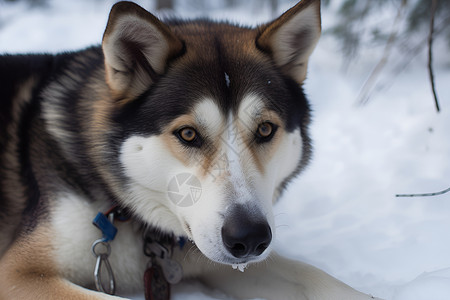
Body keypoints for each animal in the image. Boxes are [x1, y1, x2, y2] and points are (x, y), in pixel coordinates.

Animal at [0, 0, 380, 300]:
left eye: (265, 129)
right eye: (188, 134)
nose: (249, 238)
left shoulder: (214, 256)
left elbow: (313, 275)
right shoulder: (19, 273)